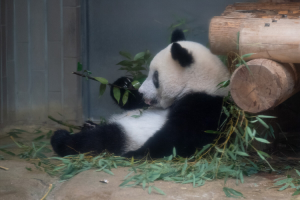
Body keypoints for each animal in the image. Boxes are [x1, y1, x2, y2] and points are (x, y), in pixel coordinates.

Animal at [51, 29, 230, 158]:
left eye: (156, 77)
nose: (142, 91)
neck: (200, 83)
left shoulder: (205, 106)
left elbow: (179, 138)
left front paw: (137, 154)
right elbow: (135, 102)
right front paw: (123, 85)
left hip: (127, 134)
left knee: (100, 139)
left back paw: (61, 139)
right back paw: (88, 125)